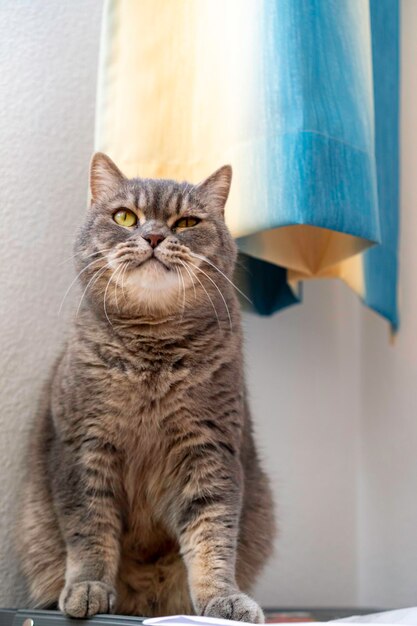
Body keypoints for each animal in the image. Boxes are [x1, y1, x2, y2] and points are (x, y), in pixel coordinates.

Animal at [17, 154, 276, 620]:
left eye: (187, 222)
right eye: (125, 217)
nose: (154, 235)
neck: (152, 353)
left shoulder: (210, 451)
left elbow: (214, 536)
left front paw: (222, 598)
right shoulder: (83, 449)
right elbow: (89, 531)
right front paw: (88, 588)